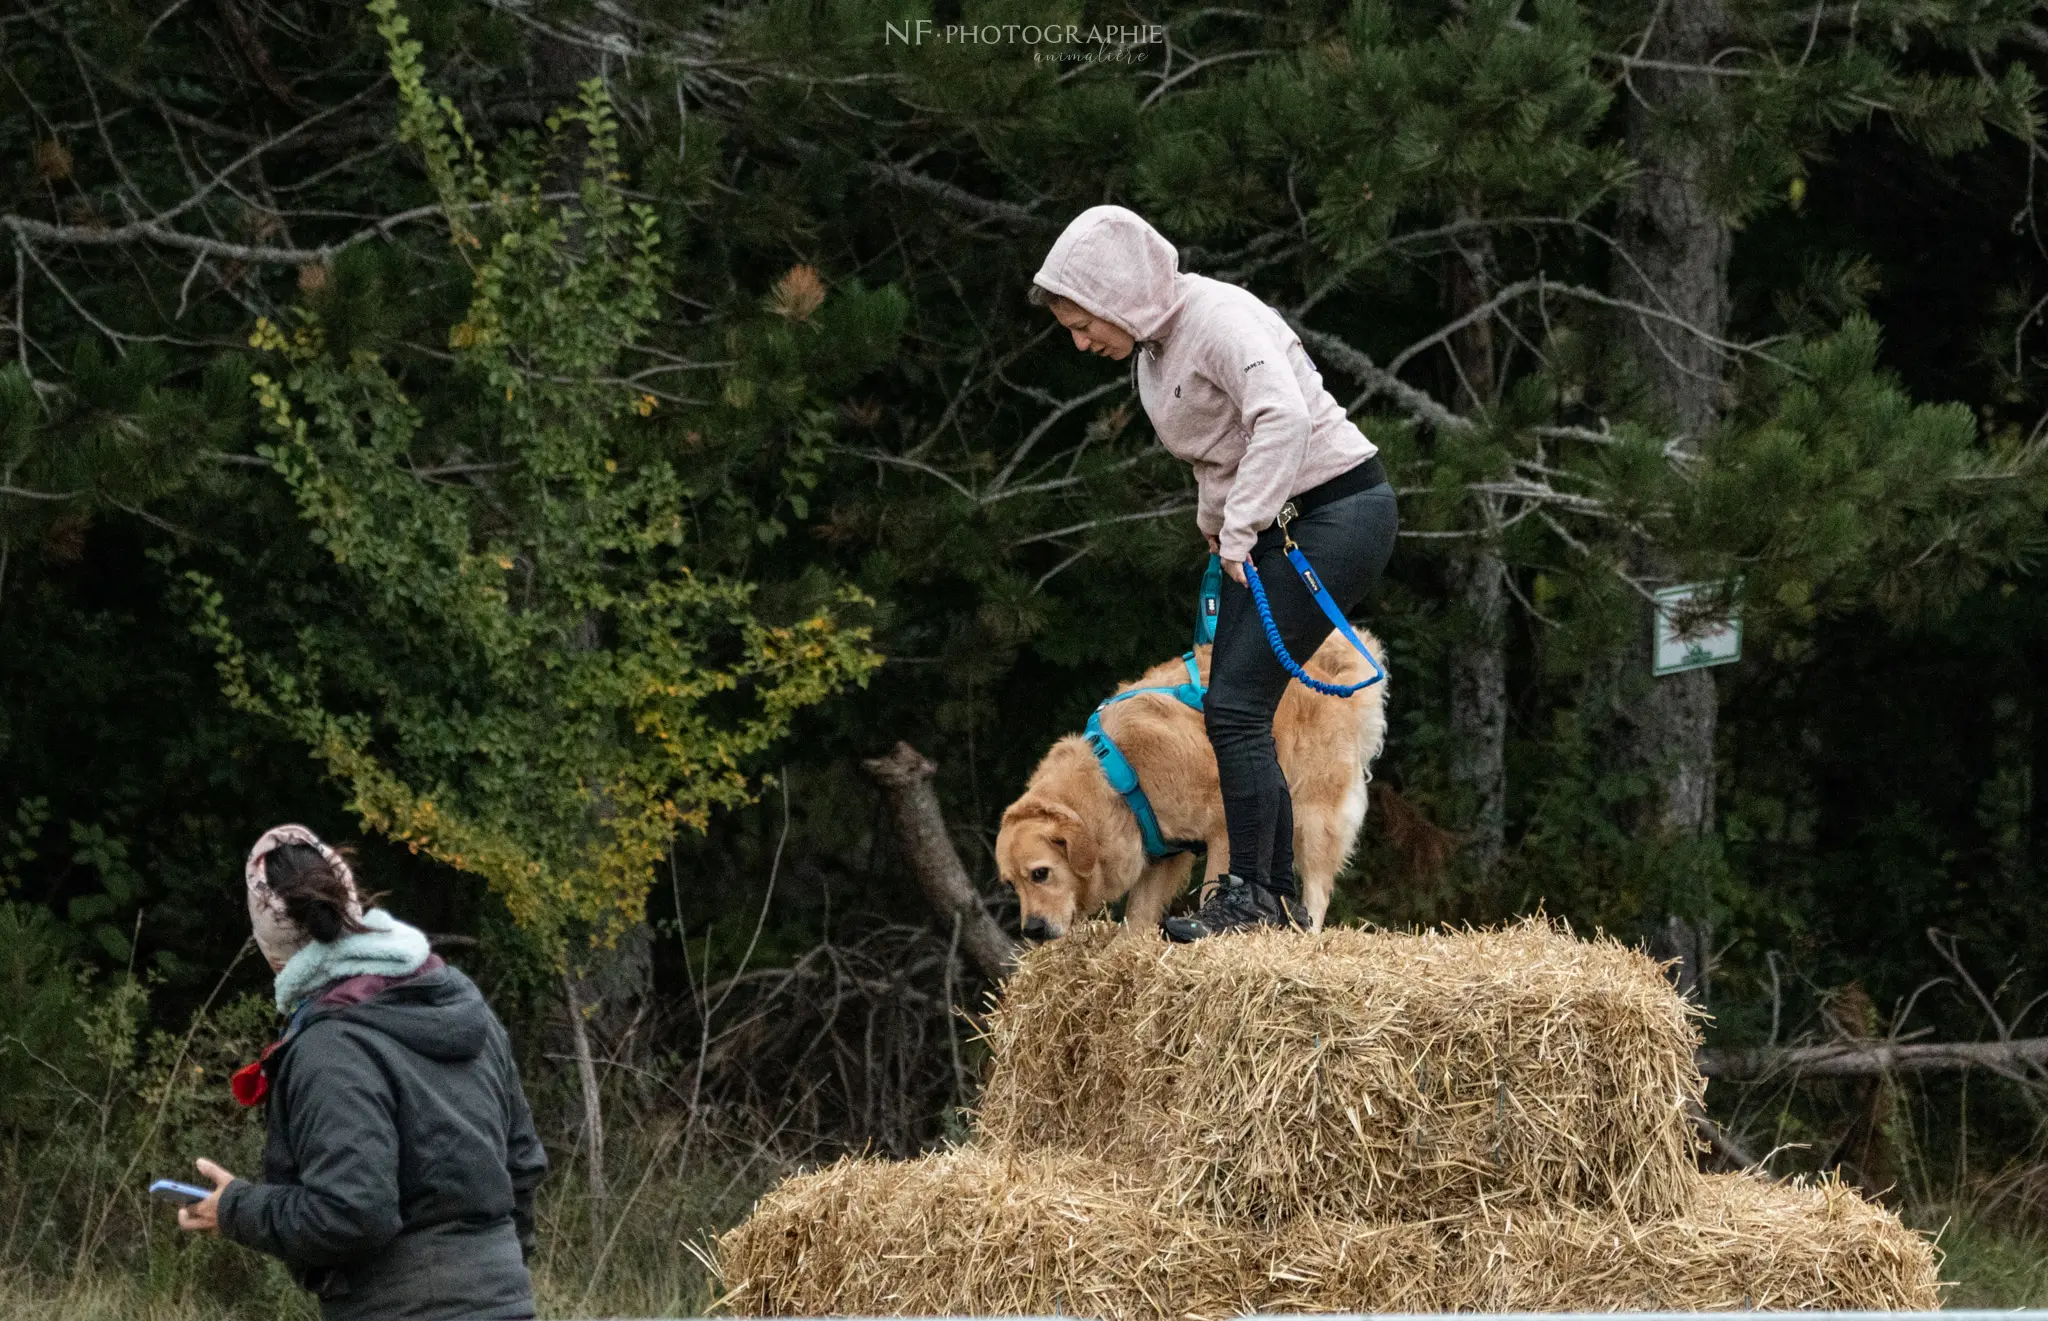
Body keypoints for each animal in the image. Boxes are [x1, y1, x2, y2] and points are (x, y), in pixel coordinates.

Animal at [995, 634, 1384, 938]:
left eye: (1041, 873)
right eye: (1011, 884)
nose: (1032, 931)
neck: (1117, 781)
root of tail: (1326, 677)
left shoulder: (1224, 833)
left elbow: (1211, 890)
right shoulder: (1161, 854)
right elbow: (1136, 917)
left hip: (1314, 820)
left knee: (1318, 889)